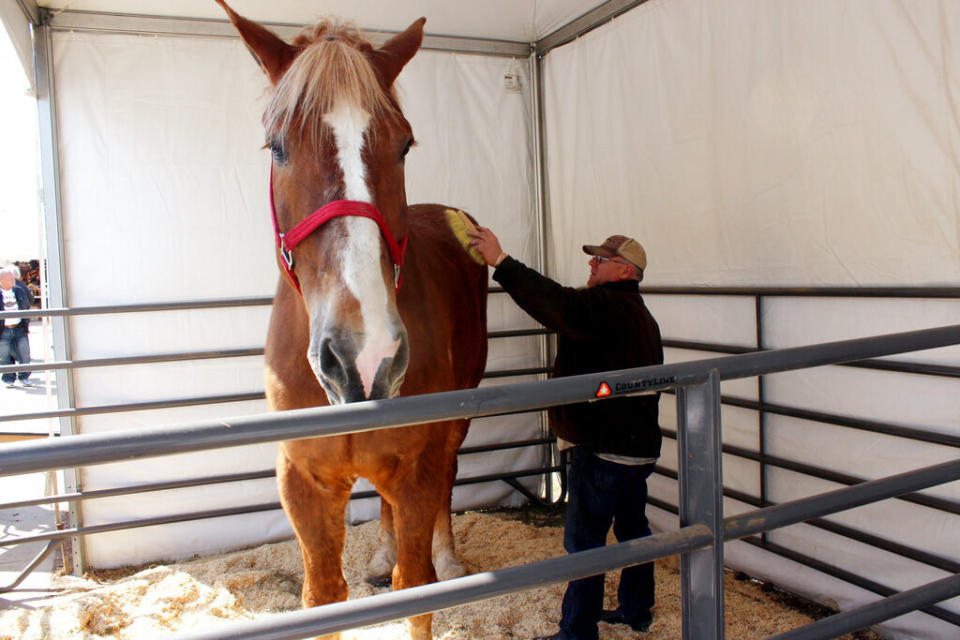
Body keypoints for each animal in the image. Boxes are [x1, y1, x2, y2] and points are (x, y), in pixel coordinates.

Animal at [218, 2, 488, 636]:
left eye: (405, 145)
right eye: (277, 147)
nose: (365, 358)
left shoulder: (417, 469)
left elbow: (415, 590)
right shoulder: (305, 484)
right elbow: (323, 597)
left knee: (449, 476)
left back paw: (448, 555)